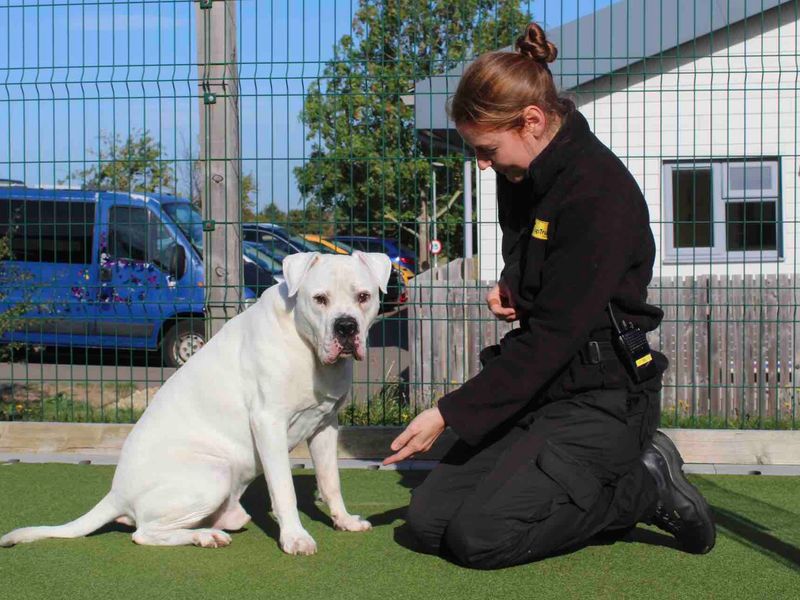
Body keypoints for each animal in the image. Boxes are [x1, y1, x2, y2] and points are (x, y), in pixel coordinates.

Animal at [0, 250, 392, 552]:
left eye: (363, 297)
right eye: (319, 299)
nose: (346, 327)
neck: (305, 346)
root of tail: (116, 492)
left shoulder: (325, 425)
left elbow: (331, 481)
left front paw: (344, 521)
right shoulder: (269, 423)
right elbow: (284, 489)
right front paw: (295, 538)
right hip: (213, 473)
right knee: (144, 533)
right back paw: (205, 536)